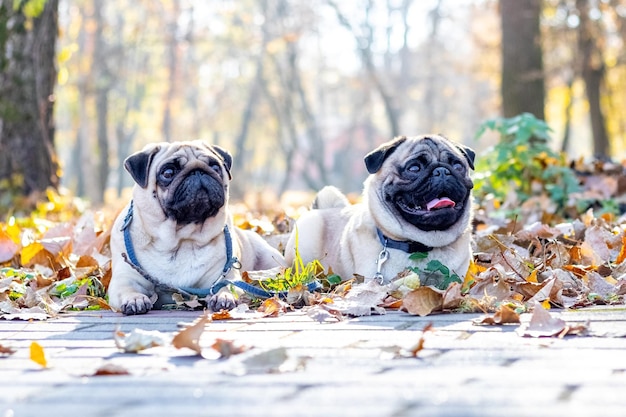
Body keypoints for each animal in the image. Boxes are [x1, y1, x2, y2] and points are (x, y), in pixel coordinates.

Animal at [108, 138, 282, 314]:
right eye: (168, 173)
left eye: (215, 167)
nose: (197, 171)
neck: (181, 239)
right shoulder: (125, 279)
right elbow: (127, 289)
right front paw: (134, 299)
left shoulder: (225, 277)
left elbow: (227, 287)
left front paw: (223, 297)